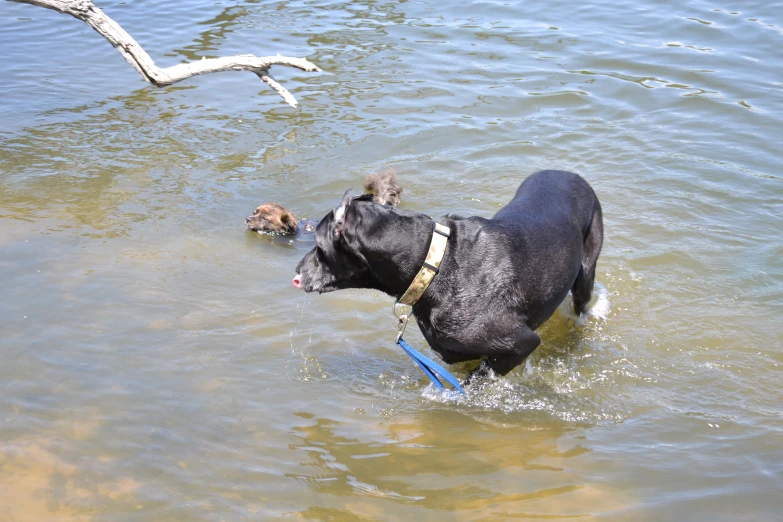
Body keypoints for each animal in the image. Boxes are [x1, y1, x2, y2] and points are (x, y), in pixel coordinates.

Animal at [290, 173, 604, 376]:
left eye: (319, 245)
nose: (297, 271)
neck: (434, 264)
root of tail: (573, 175)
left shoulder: (520, 343)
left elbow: (477, 379)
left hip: (585, 274)